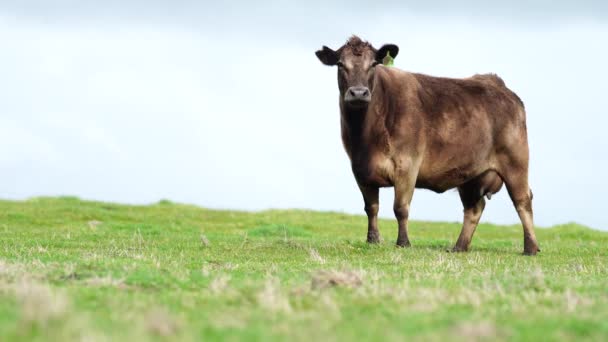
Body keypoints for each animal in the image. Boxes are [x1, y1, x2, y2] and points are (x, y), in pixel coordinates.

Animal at [316, 36, 540, 254]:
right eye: (340, 64)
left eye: (373, 64)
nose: (358, 93)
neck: (367, 137)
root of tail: (497, 84)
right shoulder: (360, 170)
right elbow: (371, 207)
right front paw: (372, 240)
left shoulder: (407, 166)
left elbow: (400, 208)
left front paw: (403, 243)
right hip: (471, 174)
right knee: (474, 208)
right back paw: (459, 247)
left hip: (516, 162)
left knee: (522, 200)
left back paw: (530, 247)